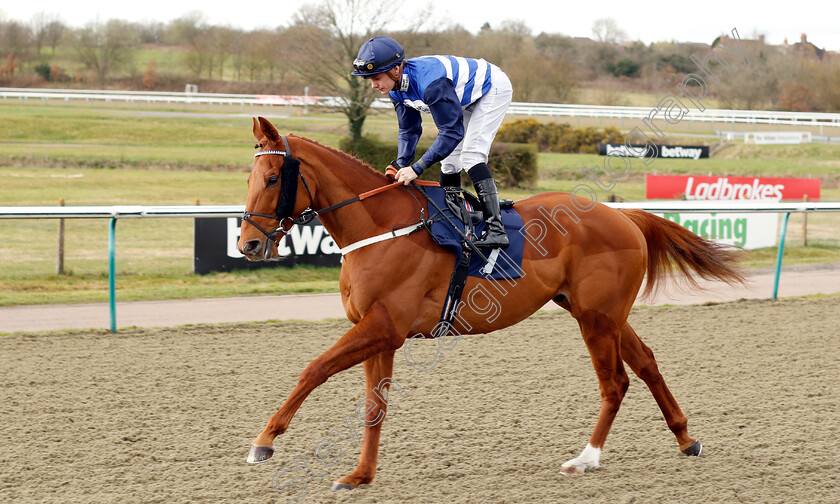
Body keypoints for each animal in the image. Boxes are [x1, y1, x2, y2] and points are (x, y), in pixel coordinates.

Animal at [238, 117, 740, 488]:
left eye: (271, 178)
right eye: (249, 177)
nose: (247, 245)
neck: (379, 228)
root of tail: (625, 215)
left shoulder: (383, 326)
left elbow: (314, 369)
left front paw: (264, 440)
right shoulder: (380, 333)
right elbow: (373, 406)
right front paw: (361, 475)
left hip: (596, 319)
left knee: (615, 382)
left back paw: (586, 458)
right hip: (602, 313)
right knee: (648, 362)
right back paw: (686, 438)